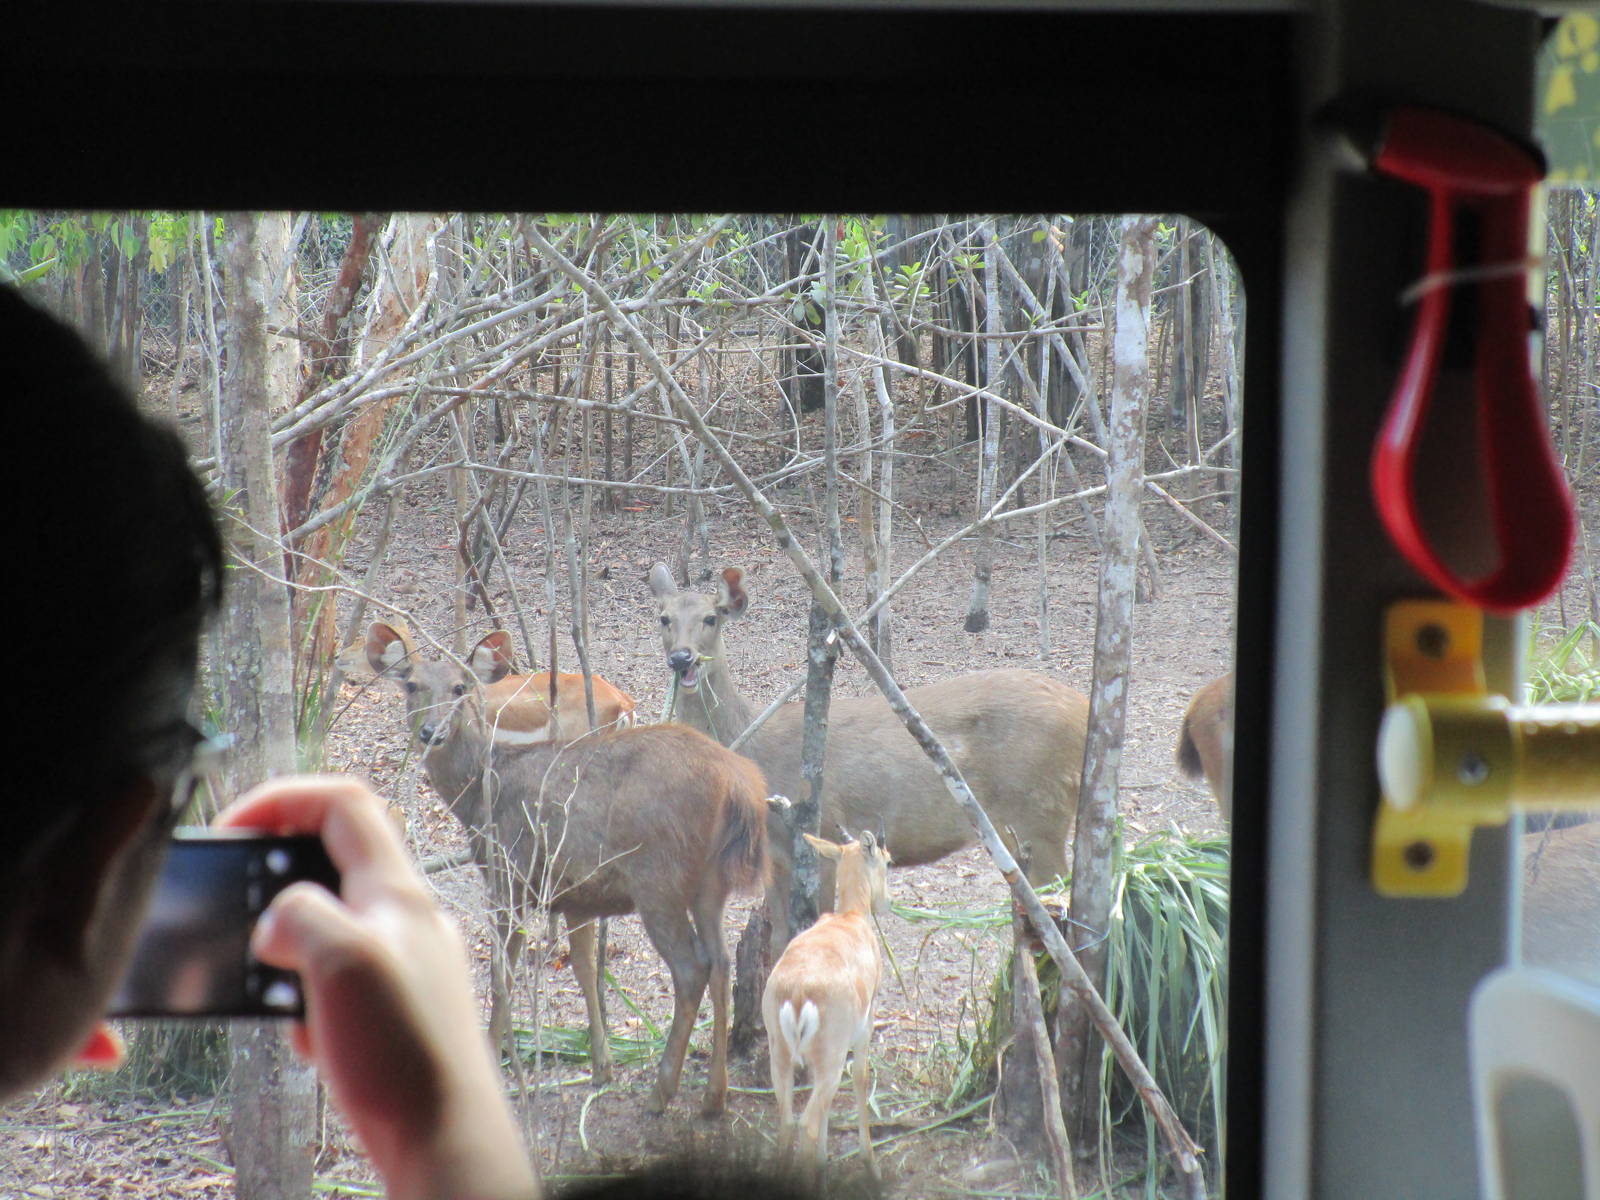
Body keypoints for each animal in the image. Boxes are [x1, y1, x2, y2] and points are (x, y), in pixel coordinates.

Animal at [366, 621, 768, 1114]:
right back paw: (714, 1096)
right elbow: (585, 970)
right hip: (709, 884)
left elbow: (502, 975)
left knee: (692, 968)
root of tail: (738, 783)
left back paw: (661, 1091)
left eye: (461, 688)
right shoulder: (576, 893)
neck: (480, 795)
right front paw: (602, 1066)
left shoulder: (510, 874)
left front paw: (495, 1061)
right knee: (723, 962)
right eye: (411, 684)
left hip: (659, 877)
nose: (430, 732)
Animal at [650, 564, 1090, 954]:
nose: (682, 658)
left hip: (1041, 810)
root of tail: (1083, 708)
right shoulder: (775, 860)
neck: (757, 751)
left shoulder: (822, 833)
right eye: (664, 618)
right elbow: (780, 943)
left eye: (711, 617)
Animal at [763, 830, 892, 1182]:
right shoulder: (864, 1030)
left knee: (787, 1122)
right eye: (888, 860)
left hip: (782, 1057)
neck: (849, 919)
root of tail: (798, 992)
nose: (885, 902)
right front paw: (871, 1164)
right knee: (806, 1122)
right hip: (830, 1062)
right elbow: (861, 1077)